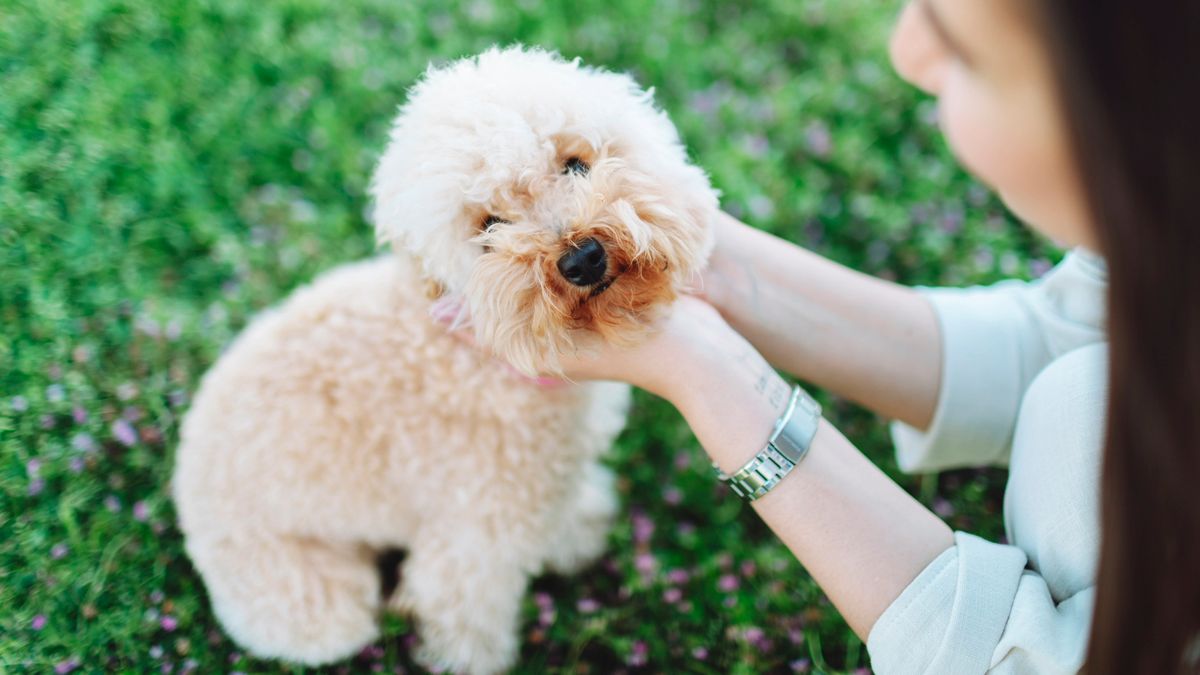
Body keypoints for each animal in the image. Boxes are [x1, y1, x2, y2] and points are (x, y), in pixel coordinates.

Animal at [172, 44, 715, 667]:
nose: (582, 259)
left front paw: (579, 532)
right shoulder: (470, 543)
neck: (481, 358)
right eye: (489, 227)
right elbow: (466, 625)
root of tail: (182, 485)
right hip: (317, 605)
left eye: (576, 165)